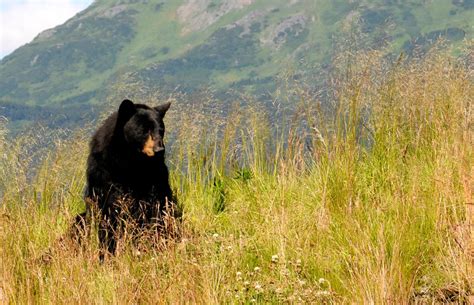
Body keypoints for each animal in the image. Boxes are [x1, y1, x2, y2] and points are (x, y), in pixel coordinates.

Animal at [83, 99, 176, 256]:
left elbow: (160, 204)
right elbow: (111, 210)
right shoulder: (105, 173)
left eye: (161, 130)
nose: (159, 150)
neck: (133, 163)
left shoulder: (157, 175)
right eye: (144, 130)